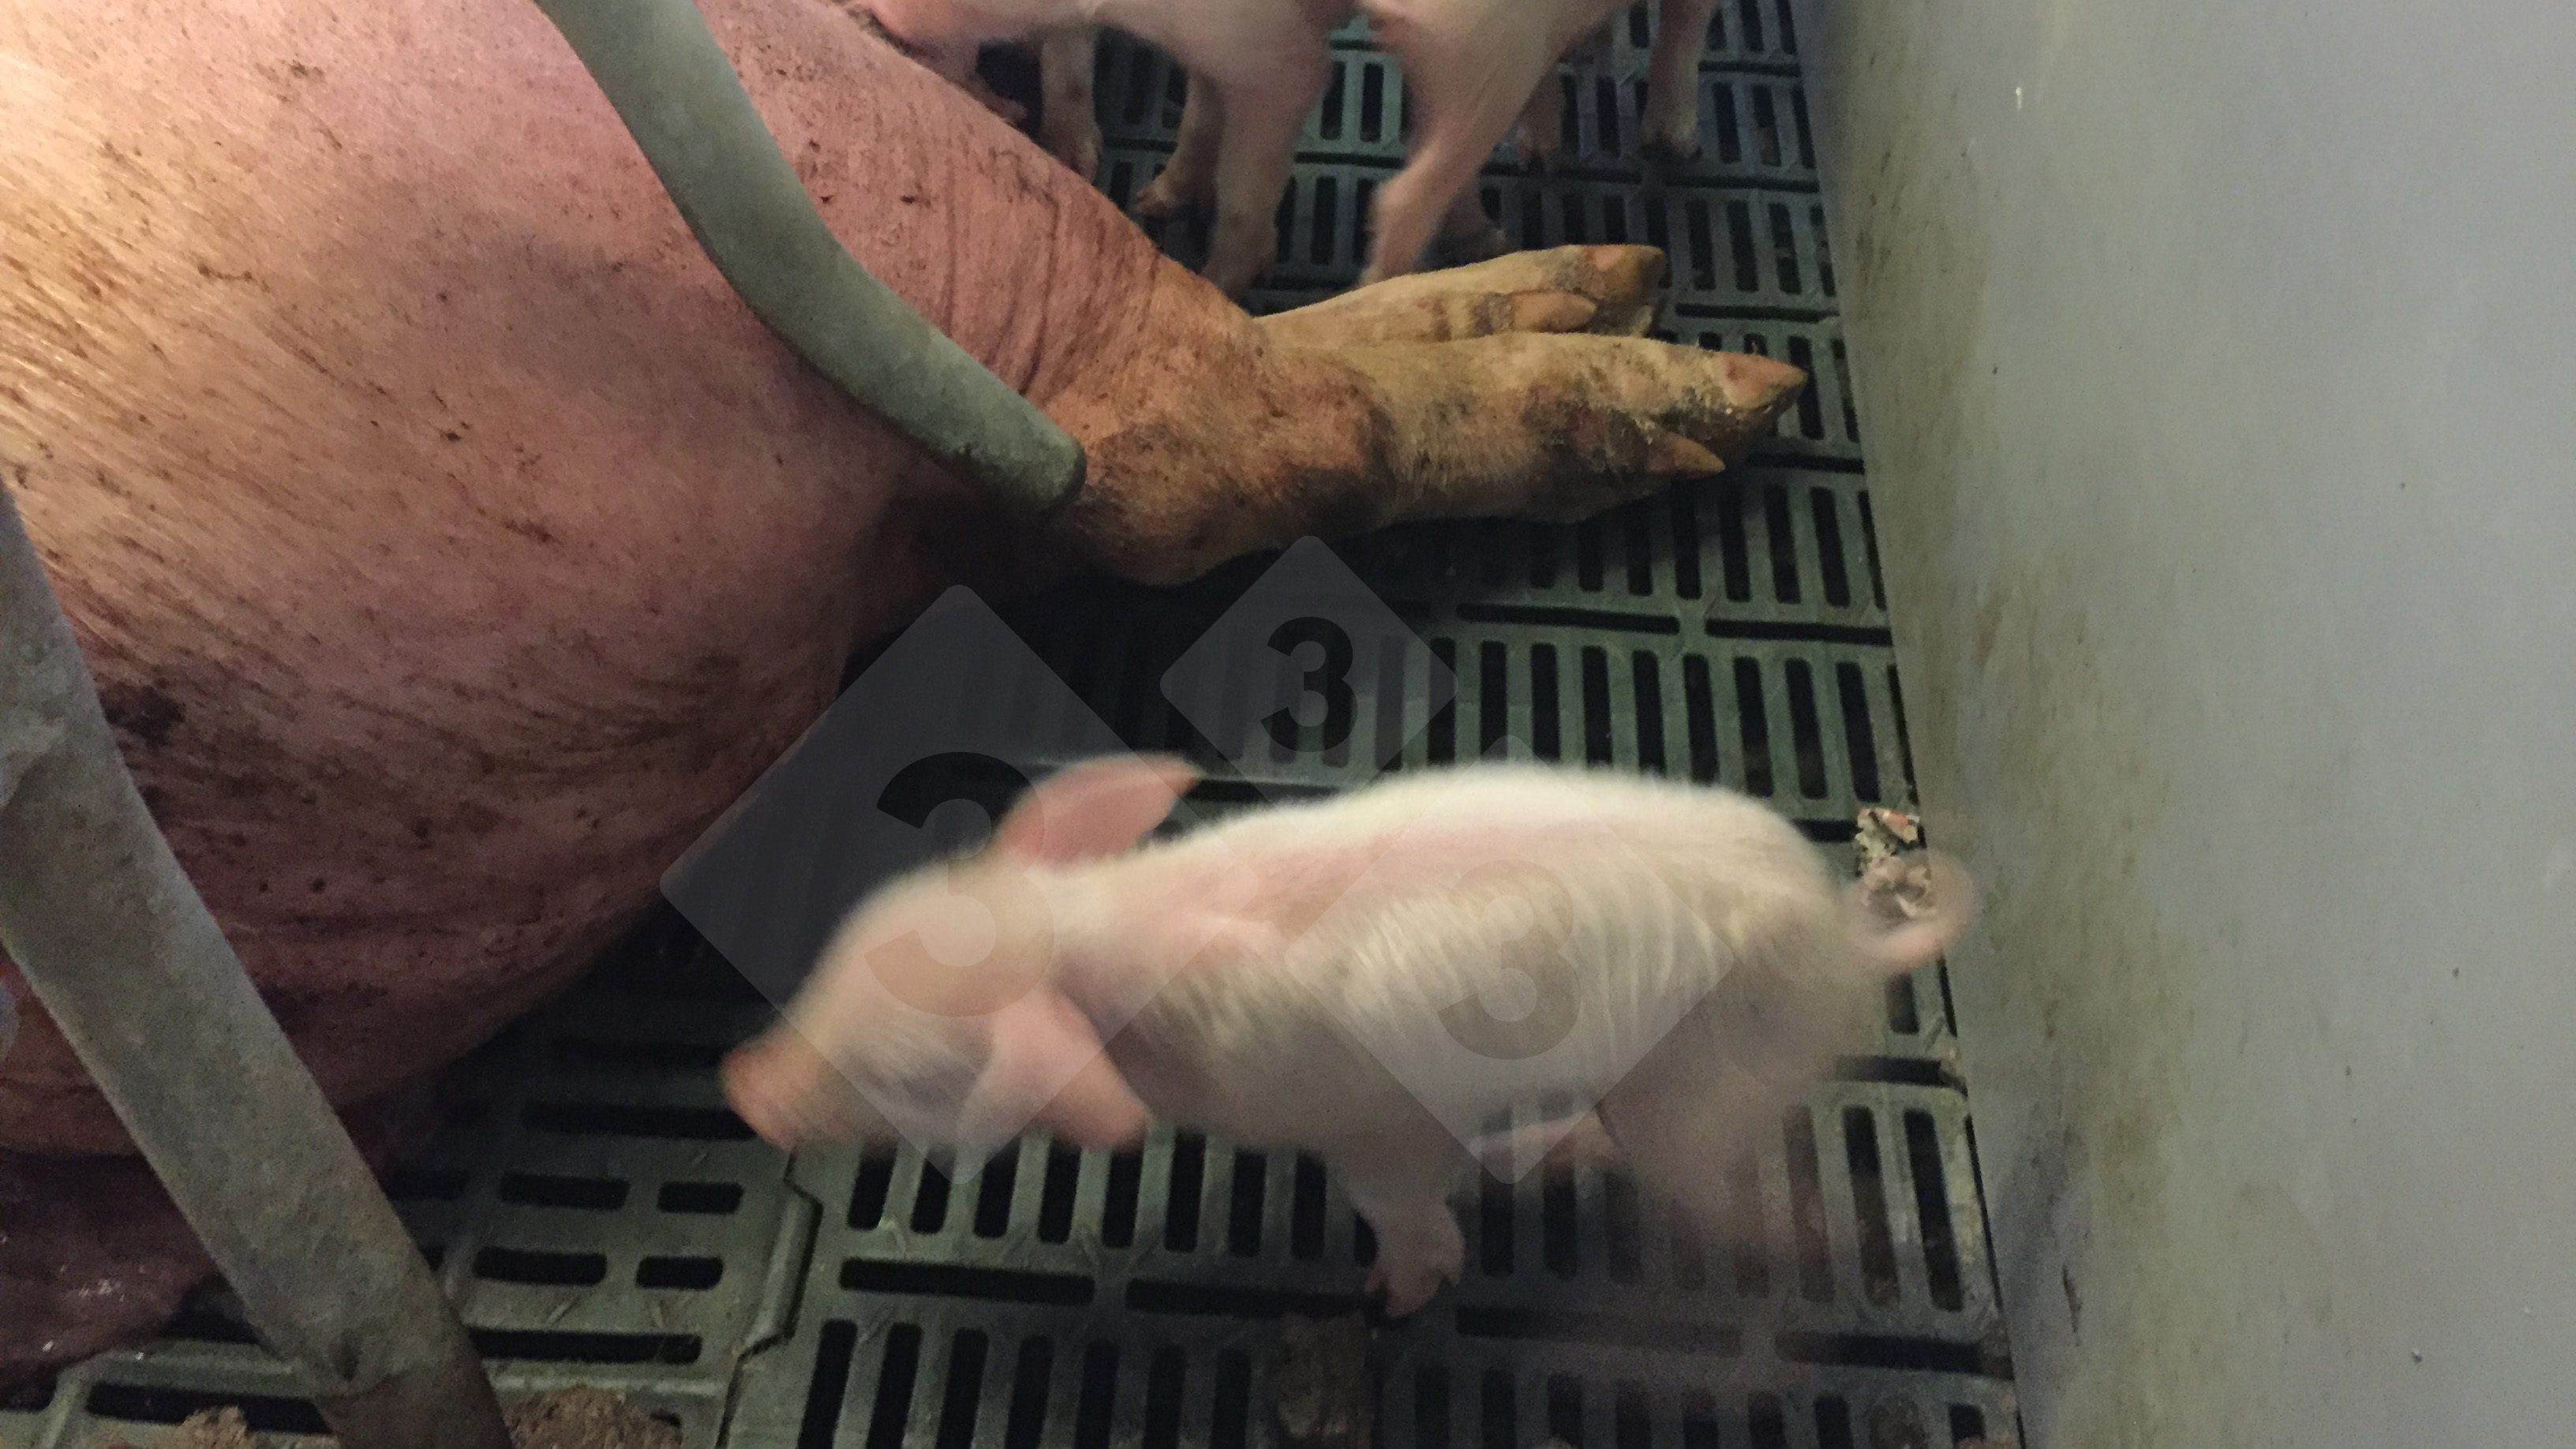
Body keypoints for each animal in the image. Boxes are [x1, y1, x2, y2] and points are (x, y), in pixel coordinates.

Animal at [723, 756, 1975, 1314]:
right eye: (837, 953)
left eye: (912, 1076)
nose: (742, 1087)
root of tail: (1843, 941)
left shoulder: (1372, 1127)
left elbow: (1408, 1210)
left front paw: (1391, 1299)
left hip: (1696, 1087)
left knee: (1695, 1176)